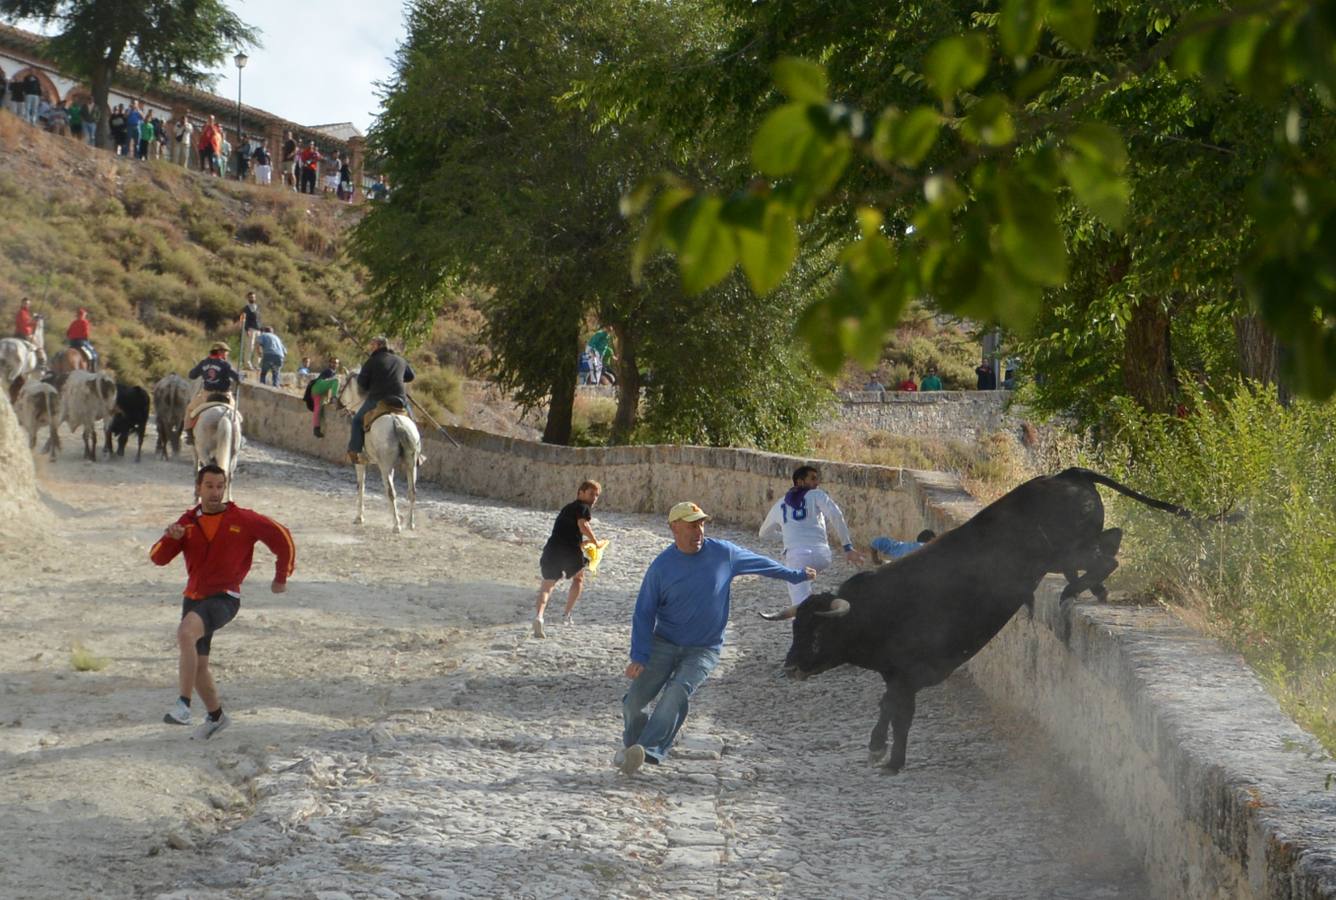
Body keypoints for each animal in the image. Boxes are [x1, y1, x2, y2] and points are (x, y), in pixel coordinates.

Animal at [336, 368, 419, 528]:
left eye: (343, 384)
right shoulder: (390, 467)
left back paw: (396, 526)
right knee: (411, 492)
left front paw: (359, 517)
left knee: (391, 492)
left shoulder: (360, 463)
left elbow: (361, 487)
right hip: (410, 464)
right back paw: (410, 523)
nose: (338, 404)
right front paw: (397, 516)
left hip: (385, 465)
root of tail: (397, 421)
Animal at [769, 470, 1234, 769]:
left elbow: (902, 716)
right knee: (1111, 542)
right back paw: (1089, 589)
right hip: (1068, 551)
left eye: (817, 631)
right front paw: (875, 747)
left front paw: (893, 762)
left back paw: (1074, 590)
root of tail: (1067, 474)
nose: (790, 667)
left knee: (1110, 554)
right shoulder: (896, 676)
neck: (879, 609)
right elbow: (887, 709)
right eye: (795, 627)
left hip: (1068, 549)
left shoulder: (906, 675)